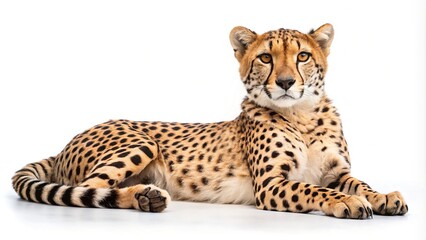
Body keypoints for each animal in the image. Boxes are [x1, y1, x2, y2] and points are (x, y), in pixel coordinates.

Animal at [11, 23, 408, 218]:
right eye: (266, 58)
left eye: (303, 56)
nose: (284, 82)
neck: (302, 115)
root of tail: (65, 144)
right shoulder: (271, 185)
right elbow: (315, 189)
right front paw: (348, 203)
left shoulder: (336, 171)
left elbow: (359, 182)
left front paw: (384, 196)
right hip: (141, 142)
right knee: (89, 190)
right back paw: (143, 198)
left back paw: (147, 196)